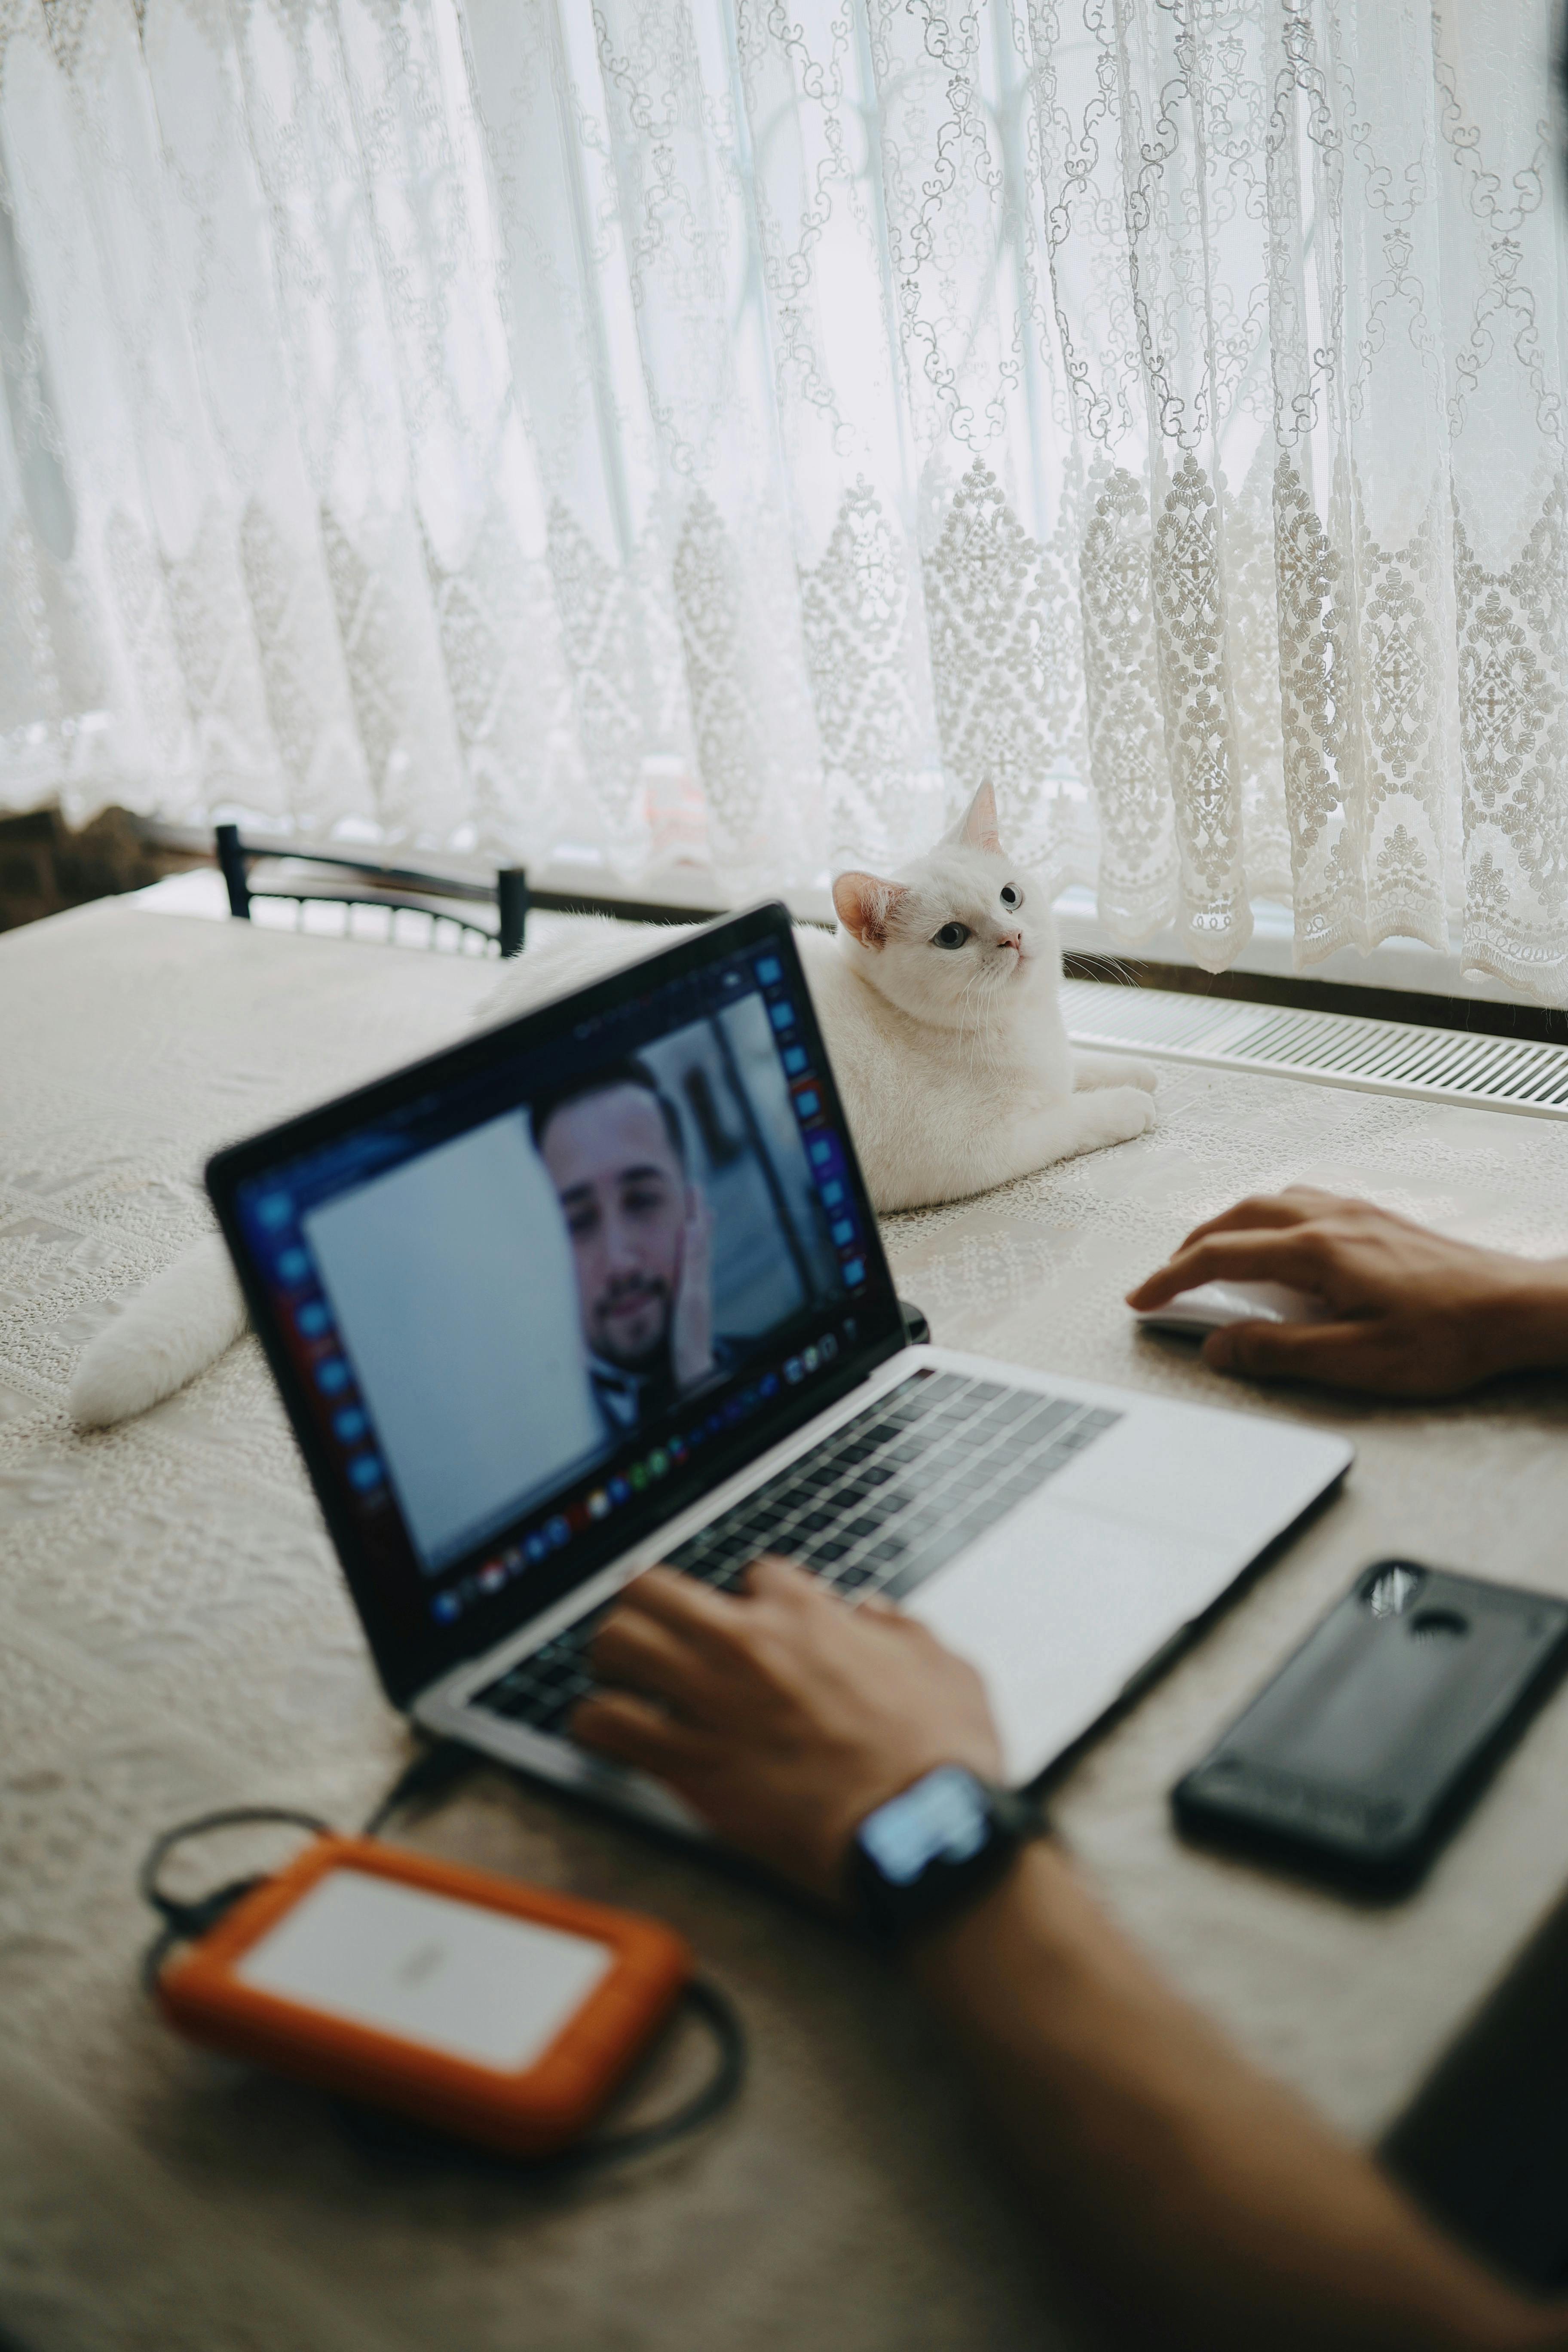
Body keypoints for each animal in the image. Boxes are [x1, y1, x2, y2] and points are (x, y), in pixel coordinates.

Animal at [70, 781, 1152, 1421]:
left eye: (1009, 897)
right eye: (953, 939)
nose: (1015, 940)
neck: (1010, 1034)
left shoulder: (1052, 1061)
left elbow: (1087, 1072)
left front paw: (1133, 1072)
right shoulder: (982, 1153)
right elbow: (1070, 1120)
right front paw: (1130, 1108)